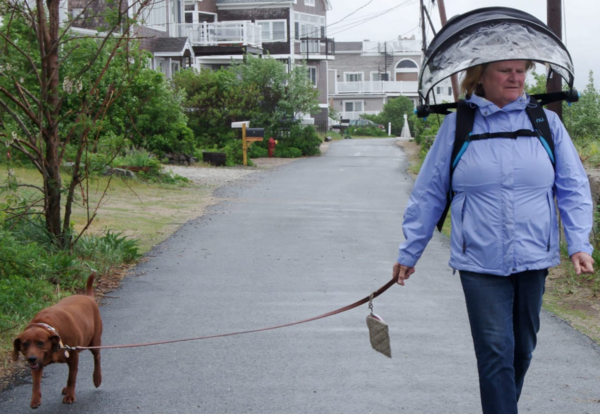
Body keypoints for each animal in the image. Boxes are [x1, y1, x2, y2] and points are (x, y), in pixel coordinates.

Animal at [11, 274, 103, 410]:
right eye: (25, 344)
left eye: (40, 342)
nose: (31, 358)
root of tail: (88, 297)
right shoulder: (38, 364)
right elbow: (36, 382)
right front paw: (35, 399)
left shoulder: (73, 356)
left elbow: (71, 378)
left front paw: (70, 396)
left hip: (94, 342)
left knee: (97, 358)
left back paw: (97, 378)